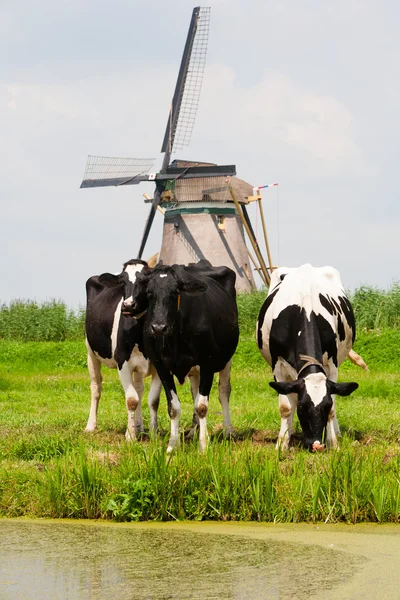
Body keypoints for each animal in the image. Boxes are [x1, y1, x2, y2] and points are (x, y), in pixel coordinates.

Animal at [84, 258, 161, 440]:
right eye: (122, 282)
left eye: (145, 280)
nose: (128, 305)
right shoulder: (123, 363)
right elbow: (131, 400)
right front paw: (130, 435)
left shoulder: (160, 364)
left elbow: (153, 400)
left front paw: (153, 434)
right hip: (91, 353)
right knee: (96, 388)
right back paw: (91, 425)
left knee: (139, 389)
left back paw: (139, 427)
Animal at [123, 260, 239, 452]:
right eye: (149, 292)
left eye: (175, 292)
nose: (158, 328)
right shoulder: (161, 367)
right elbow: (174, 407)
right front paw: (172, 445)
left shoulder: (208, 363)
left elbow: (202, 406)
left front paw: (204, 446)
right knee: (195, 393)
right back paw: (193, 432)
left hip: (226, 360)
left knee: (223, 392)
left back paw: (228, 430)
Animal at [256, 264, 360, 452]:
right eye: (302, 408)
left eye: (326, 406)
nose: (317, 445)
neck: (305, 308)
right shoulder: (278, 366)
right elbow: (286, 407)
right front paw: (282, 444)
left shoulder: (332, 365)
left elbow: (334, 407)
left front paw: (333, 443)